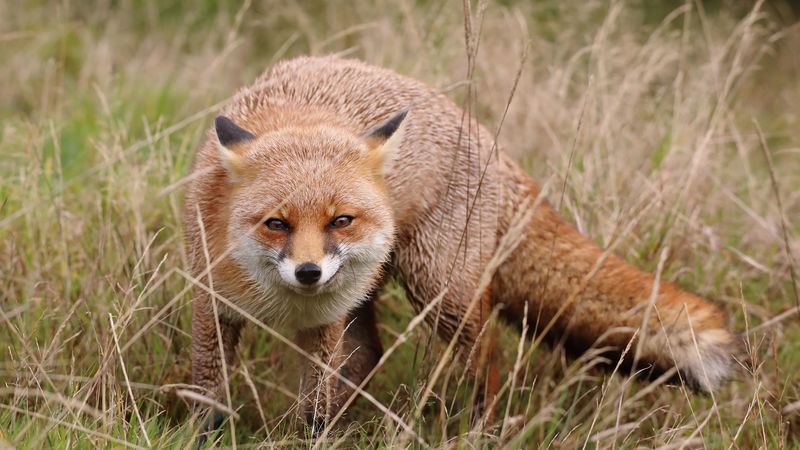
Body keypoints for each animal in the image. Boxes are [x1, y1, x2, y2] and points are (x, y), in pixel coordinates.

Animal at [184, 55, 738, 434]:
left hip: (440, 292)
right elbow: (207, 394)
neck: (282, 305)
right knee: (368, 356)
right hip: (378, 295)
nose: (308, 273)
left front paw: (313, 437)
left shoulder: (325, 325)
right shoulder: (212, 306)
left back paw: (481, 432)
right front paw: (204, 437)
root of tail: (486, 136)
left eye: (341, 221)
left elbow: (314, 404)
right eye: (276, 224)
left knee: (487, 358)